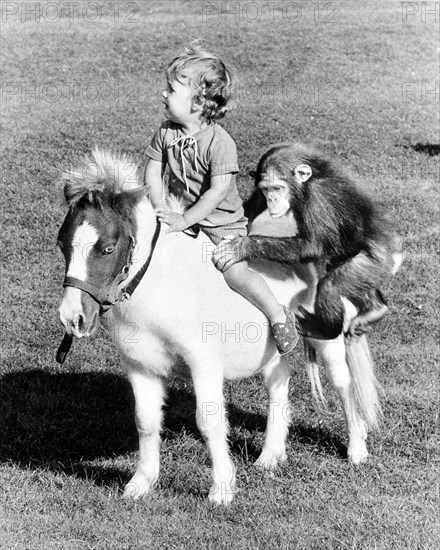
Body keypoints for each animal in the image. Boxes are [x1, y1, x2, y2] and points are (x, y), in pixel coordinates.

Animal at [57, 149, 382, 506]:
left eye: (107, 248)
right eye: (62, 244)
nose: (73, 317)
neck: (162, 285)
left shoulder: (204, 366)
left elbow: (209, 423)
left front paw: (222, 489)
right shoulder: (140, 366)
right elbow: (145, 422)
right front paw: (141, 483)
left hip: (328, 339)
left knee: (343, 382)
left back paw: (356, 449)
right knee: (279, 383)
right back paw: (270, 455)